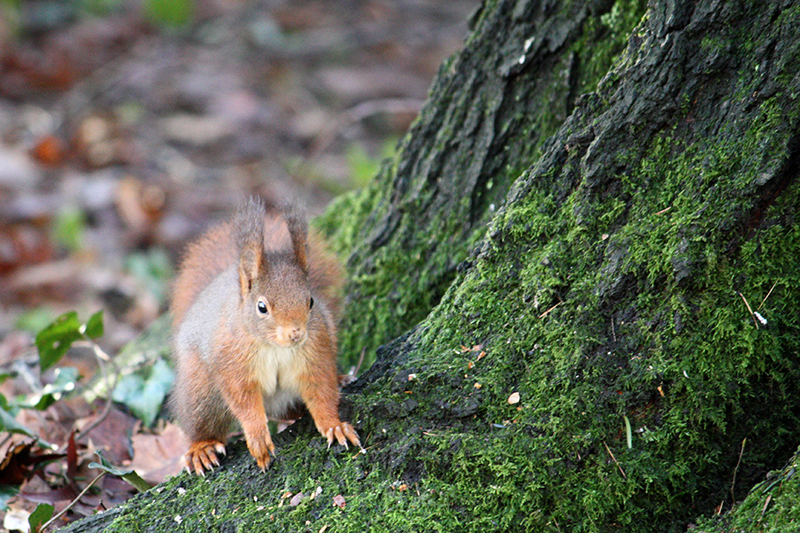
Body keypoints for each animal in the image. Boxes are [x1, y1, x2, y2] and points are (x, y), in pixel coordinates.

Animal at [169, 197, 360, 475]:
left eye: (311, 301)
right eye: (262, 307)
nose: (296, 333)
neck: (275, 346)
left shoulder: (317, 351)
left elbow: (321, 390)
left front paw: (334, 425)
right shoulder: (232, 363)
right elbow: (245, 402)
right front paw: (258, 438)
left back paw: (339, 380)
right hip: (200, 388)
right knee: (201, 420)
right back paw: (202, 448)